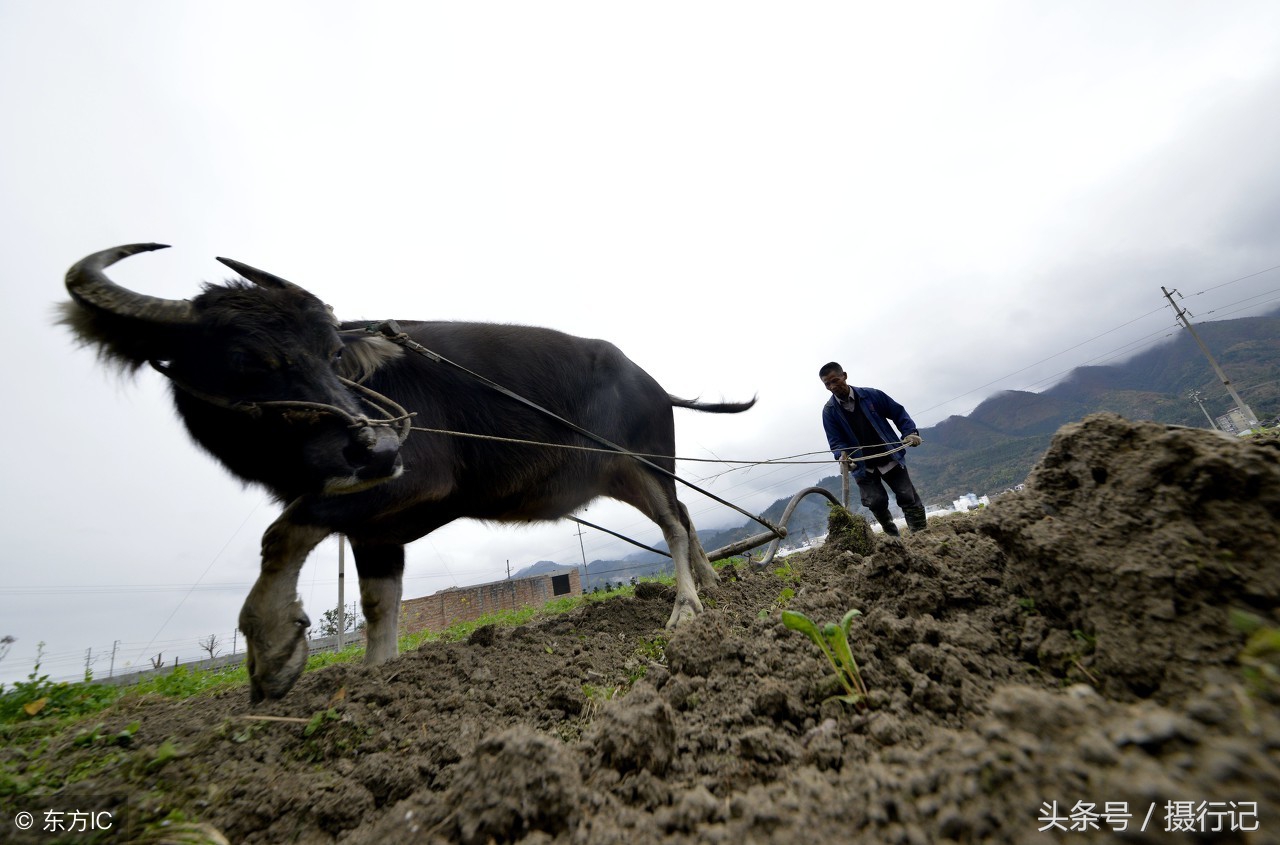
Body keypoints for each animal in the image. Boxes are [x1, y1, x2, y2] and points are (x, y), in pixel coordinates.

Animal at [60, 241, 752, 701]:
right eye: (242, 359)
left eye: (331, 353)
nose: (374, 448)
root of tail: (653, 383)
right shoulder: (376, 528)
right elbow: (377, 604)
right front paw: (376, 679)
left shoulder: (410, 481)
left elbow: (282, 531)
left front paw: (274, 649)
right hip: (622, 474)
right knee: (685, 517)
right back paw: (714, 582)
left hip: (648, 462)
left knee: (673, 521)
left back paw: (688, 607)